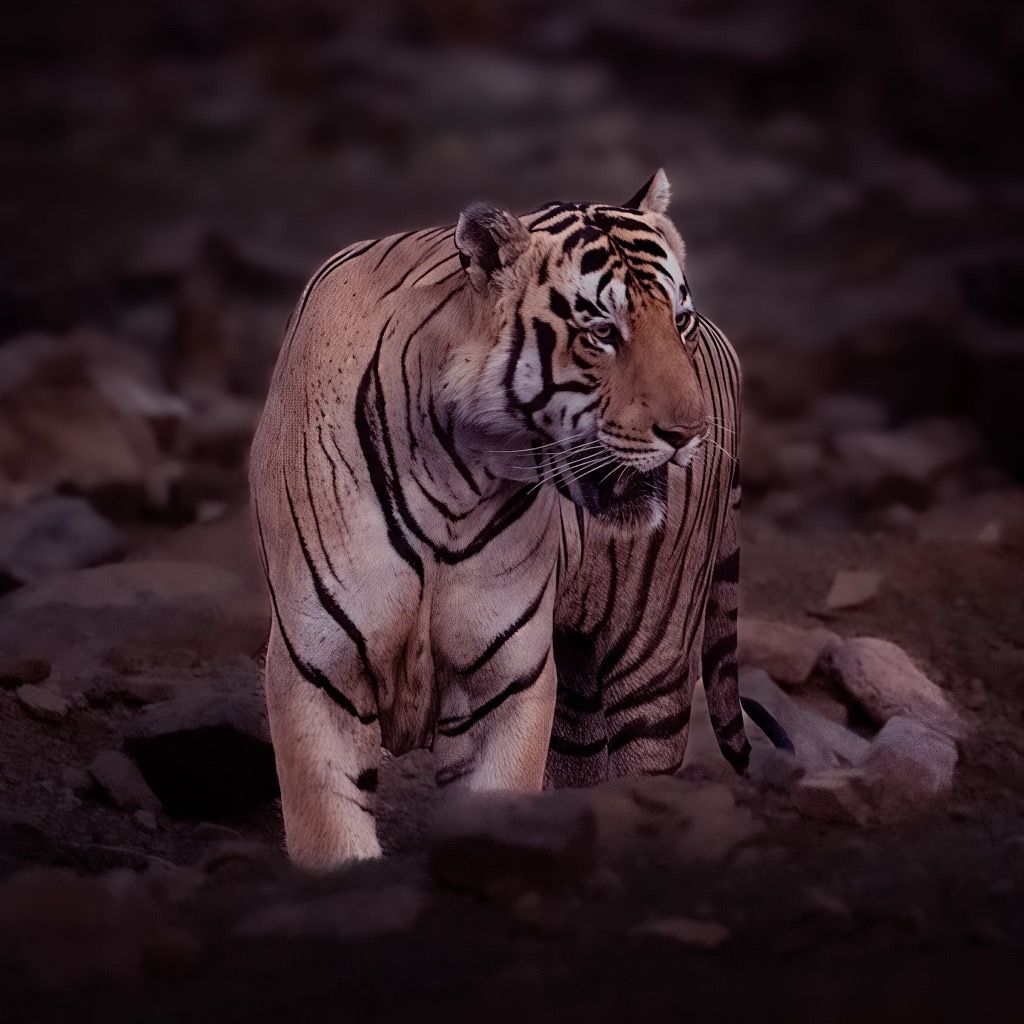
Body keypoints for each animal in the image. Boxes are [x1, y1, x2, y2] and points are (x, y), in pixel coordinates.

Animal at [249, 170, 754, 867]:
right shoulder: (316, 672)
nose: (691, 433)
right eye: (602, 331)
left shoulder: (508, 676)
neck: (453, 475)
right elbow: (331, 836)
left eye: (677, 321)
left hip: (653, 653)